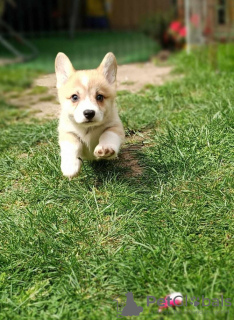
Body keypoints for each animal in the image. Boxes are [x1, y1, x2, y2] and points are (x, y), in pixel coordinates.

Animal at [54, 51, 125, 179]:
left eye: (99, 97)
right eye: (74, 97)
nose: (89, 113)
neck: (88, 128)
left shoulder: (115, 126)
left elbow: (108, 135)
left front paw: (106, 148)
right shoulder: (67, 132)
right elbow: (72, 145)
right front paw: (70, 166)